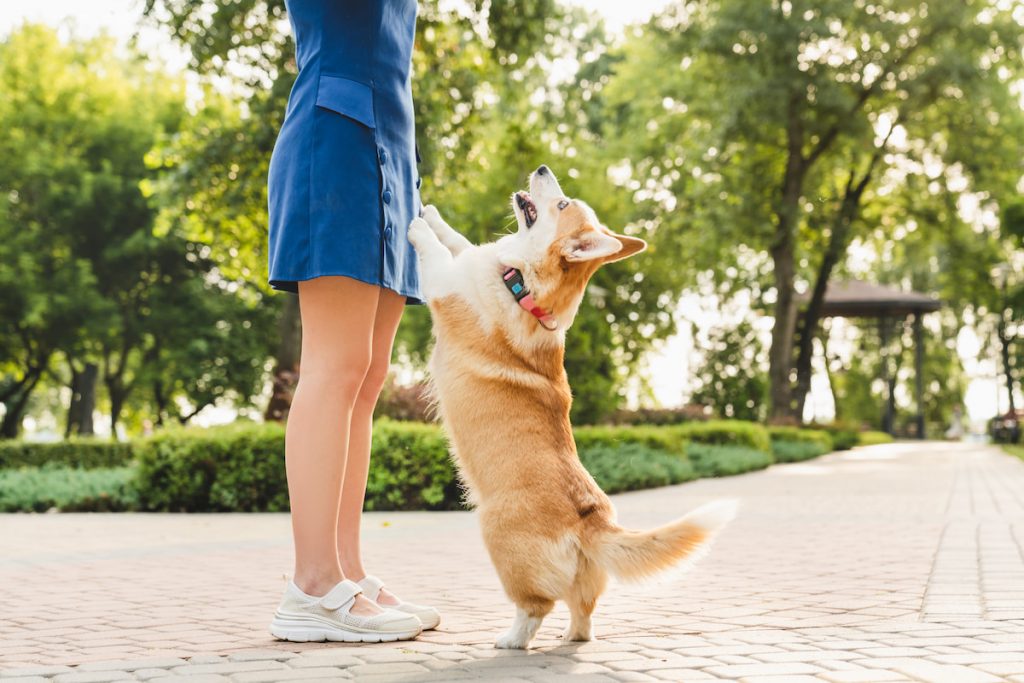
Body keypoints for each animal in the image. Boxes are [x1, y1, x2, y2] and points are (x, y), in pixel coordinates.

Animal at [407, 163, 737, 647]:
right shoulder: (471, 260)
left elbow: (438, 256)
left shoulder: (446, 286)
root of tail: (591, 523)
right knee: (583, 617)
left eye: (562, 204)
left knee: (536, 607)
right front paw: (432, 214)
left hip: (498, 538)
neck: (522, 285)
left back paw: (511, 639)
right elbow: (459, 240)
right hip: (586, 583)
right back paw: (570, 639)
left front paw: (417, 227)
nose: (543, 167)